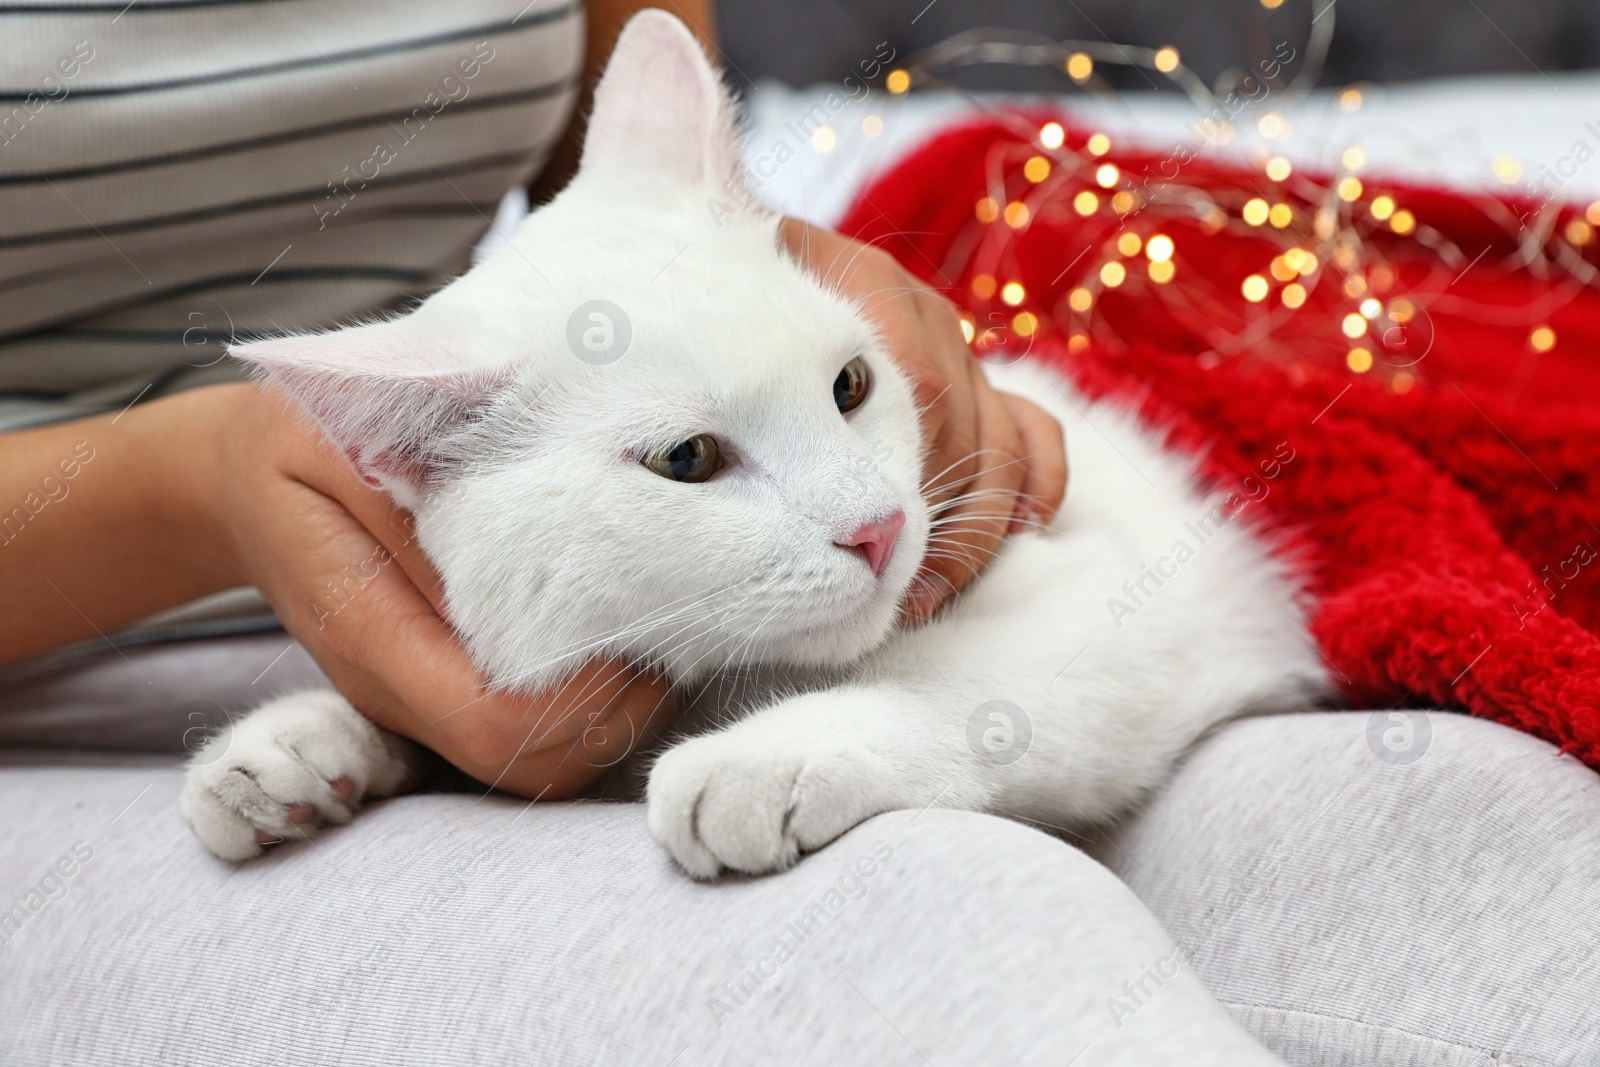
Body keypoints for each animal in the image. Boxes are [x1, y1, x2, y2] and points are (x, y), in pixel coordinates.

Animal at [178, 10, 1324, 876]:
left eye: (851, 385)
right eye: (686, 460)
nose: (879, 528)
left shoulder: (1140, 596)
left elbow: (970, 682)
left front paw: (770, 753)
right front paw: (297, 742)